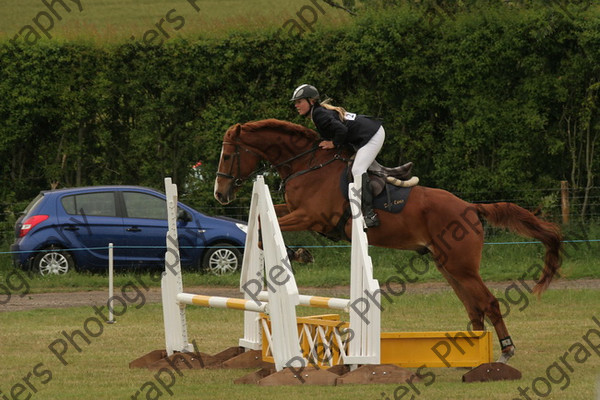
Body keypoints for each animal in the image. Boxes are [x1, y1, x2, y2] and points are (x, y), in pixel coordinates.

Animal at [214, 118, 564, 362]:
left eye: (228, 155)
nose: (220, 194)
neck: (307, 165)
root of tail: (470, 207)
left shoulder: (311, 216)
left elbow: (264, 231)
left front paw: (300, 254)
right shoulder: (295, 210)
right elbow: (262, 224)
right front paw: (299, 253)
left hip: (462, 266)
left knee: (488, 303)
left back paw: (505, 350)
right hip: (448, 266)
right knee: (473, 307)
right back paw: (472, 351)